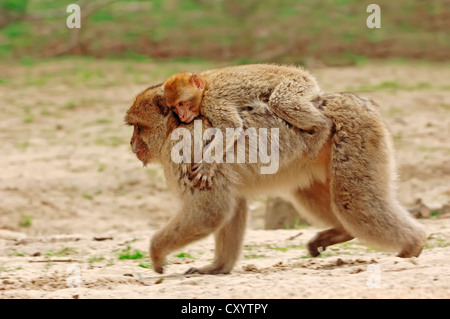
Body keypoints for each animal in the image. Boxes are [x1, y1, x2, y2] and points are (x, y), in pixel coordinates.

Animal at [125, 84, 426, 276]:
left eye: (138, 127)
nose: (131, 143)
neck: (175, 126)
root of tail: (355, 101)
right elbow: (231, 207)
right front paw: (218, 267)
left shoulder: (185, 152)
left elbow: (212, 210)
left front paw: (157, 252)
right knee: (313, 193)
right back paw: (343, 232)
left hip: (356, 136)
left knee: (353, 202)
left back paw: (413, 244)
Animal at [164, 65, 330, 190]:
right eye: (174, 107)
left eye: (182, 103)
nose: (181, 115)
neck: (205, 87)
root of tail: (304, 74)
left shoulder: (211, 102)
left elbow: (230, 126)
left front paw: (206, 166)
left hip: (297, 84)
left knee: (280, 102)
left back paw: (323, 126)